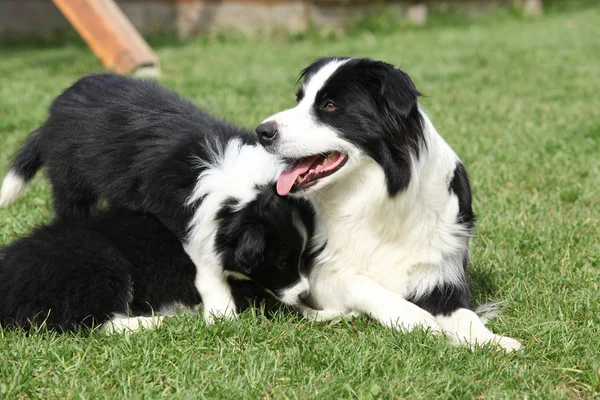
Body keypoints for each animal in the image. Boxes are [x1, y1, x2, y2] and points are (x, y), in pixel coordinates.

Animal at [1, 73, 314, 322]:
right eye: (281, 262)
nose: (306, 296)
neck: (233, 173)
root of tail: (53, 112)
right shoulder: (179, 211)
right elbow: (205, 260)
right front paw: (221, 312)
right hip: (71, 178)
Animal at [255, 57, 524, 352]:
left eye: (330, 105)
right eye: (299, 100)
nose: (262, 131)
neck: (378, 194)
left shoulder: (441, 275)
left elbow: (465, 315)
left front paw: (493, 341)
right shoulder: (318, 274)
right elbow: (362, 283)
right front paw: (416, 318)